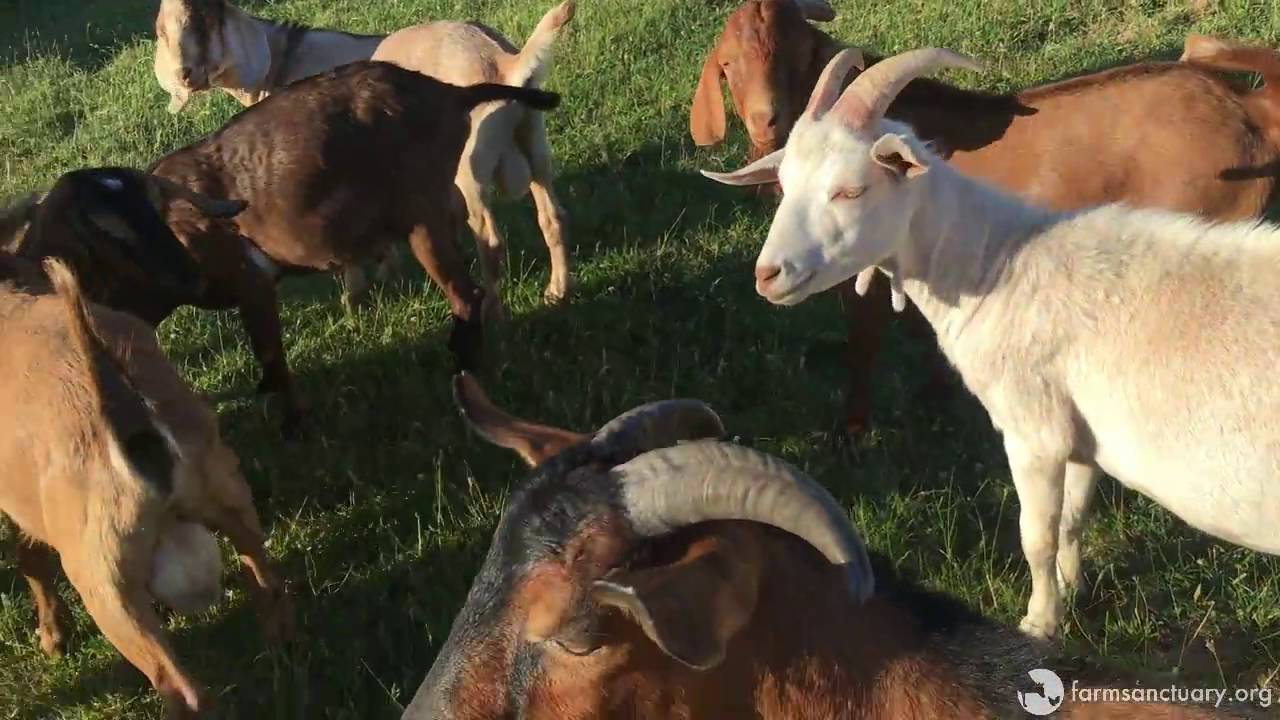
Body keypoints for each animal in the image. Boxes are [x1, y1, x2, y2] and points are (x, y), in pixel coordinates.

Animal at [0, 258, 290, 718]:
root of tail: (127, 418)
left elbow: (30, 559)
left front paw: (52, 638)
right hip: (229, 498)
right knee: (268, 588)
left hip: (107, 590)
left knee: (183, 689)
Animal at [144, 61, 560, 433]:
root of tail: (451, 95)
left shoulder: (251, 282)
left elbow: (272, 359)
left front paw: (295, 426)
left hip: (421, 216)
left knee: (466, 294)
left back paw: (462, 365)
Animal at [692, 0, 1280, 437]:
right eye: (728, 65)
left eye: (800, 50)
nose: (766, 121)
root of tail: (1252, 110)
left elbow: (862, 347)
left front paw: (853, 433)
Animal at [703, 47, 1280, 640]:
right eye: (785, 181)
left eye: (850, 190)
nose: (769, 275)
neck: (1000, 264)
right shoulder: (1079, 432)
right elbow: (1073, 518)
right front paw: (1073, 589)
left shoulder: (1033, 431)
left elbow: (1037, 534)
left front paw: (1039, 623)